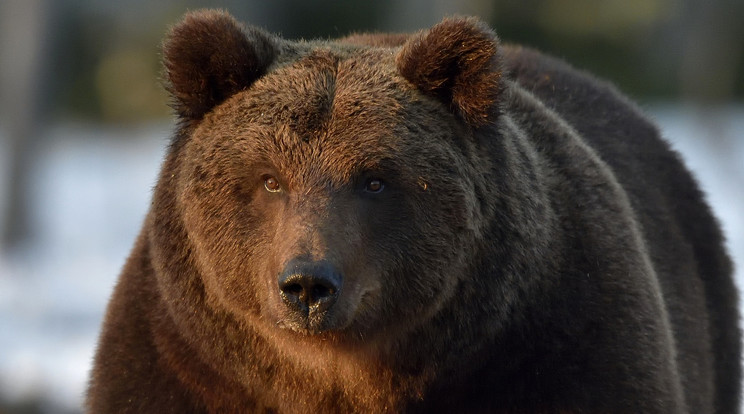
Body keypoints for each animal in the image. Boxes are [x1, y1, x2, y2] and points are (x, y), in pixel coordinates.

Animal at [85, 9, 740, 414]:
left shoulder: (564, 341)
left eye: (374, 180)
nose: (307, 285)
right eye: (268, 180)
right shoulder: (178, 364)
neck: (347, 378)